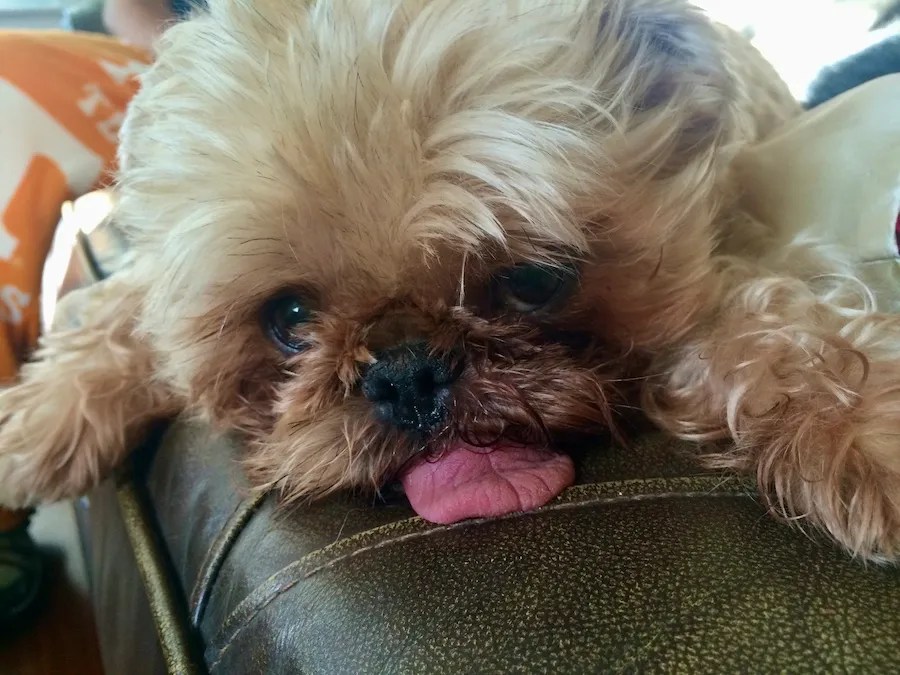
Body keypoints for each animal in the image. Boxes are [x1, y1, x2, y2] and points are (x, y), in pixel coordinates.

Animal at [1, 0, 900, 560]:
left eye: (533, 279)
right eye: (288, 317)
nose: (406, 372)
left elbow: (778, 328)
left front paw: (862, 422)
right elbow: (117, 309)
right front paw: (45, 415)